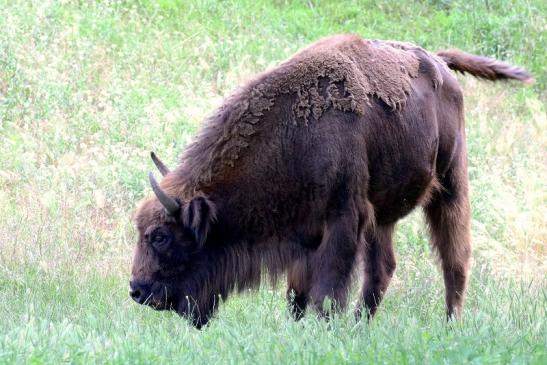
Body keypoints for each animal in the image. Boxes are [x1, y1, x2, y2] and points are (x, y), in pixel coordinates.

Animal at [128, 34, 532, 326]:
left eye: (160, 236)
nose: (136, 290)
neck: (292, 133)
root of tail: (439, 63)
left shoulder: (343, 220)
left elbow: (327, 290)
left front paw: (323, 327)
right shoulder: (303, 234)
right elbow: (297, 293)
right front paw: (297, 325)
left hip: (450, 184)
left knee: (454, 256)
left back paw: (451, 324)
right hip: (383, 214)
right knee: (382, 268)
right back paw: (359, 325)